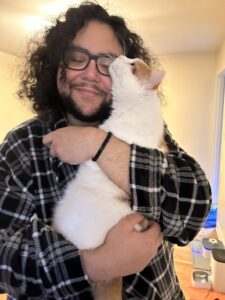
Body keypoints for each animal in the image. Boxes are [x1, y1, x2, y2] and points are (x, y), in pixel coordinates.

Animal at [52, 55, 165, 298]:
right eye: (130, 59)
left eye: (132, 65)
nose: (120, 56)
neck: (137, 107)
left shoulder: (110, 133)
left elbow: (98, 134)